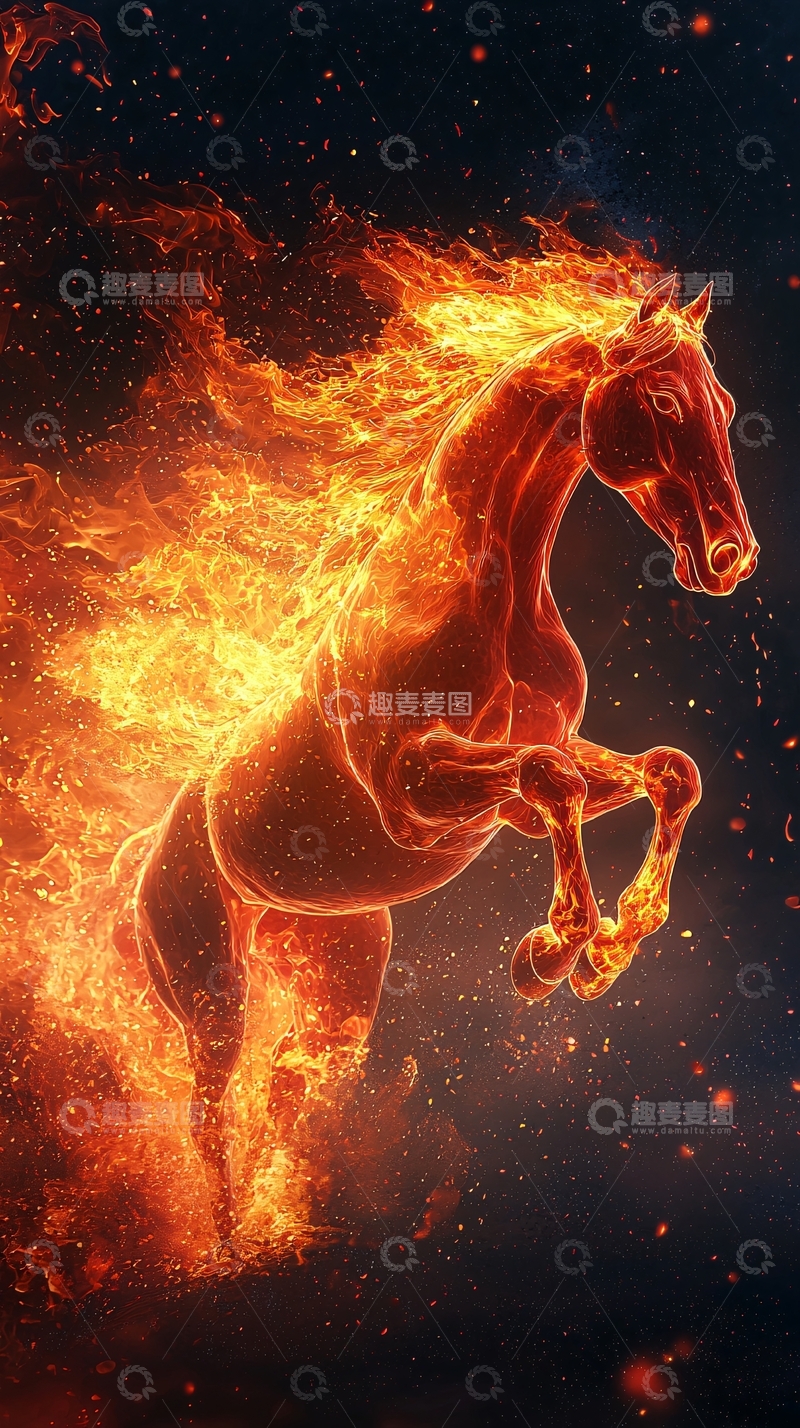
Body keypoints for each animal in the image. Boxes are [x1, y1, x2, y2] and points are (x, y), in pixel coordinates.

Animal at [134, 268, 757, 1243]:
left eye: (726, 404)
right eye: (662, 398)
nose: (733, 557)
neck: (481, 593)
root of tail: (152, 845)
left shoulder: (522, 778)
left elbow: (662, 773)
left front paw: (609, 949)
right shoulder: (415, 792)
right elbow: (550, 782)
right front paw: (552, 954)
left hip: (337, 980)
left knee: (291, 1084)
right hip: (211, 995)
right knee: (211, 1115)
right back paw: (231, 1249)